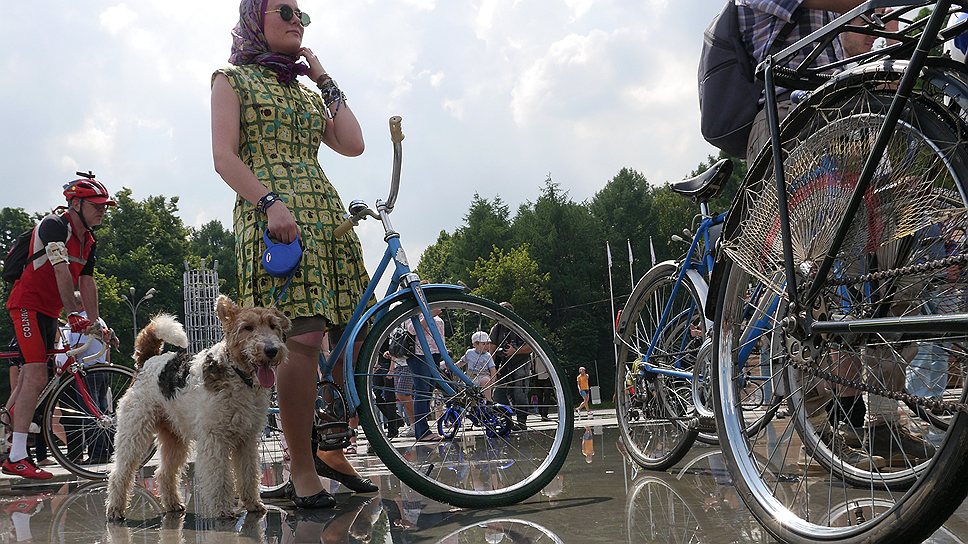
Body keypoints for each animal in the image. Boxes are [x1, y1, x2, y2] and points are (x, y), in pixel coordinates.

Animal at [107, 298, 288, 520]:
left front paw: (253, 503)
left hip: (174, 437)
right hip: (134, 432)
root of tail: (147, 361)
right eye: (247, 327)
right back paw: (115, 509)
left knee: (164, 473)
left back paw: (173, 504)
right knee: (120, 472)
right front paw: (223, 508)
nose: (271, 350)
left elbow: (249, 474)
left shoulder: (247, 439)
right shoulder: (215, 438)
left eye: (273, 325)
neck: (237, 374)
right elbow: (220, 477)